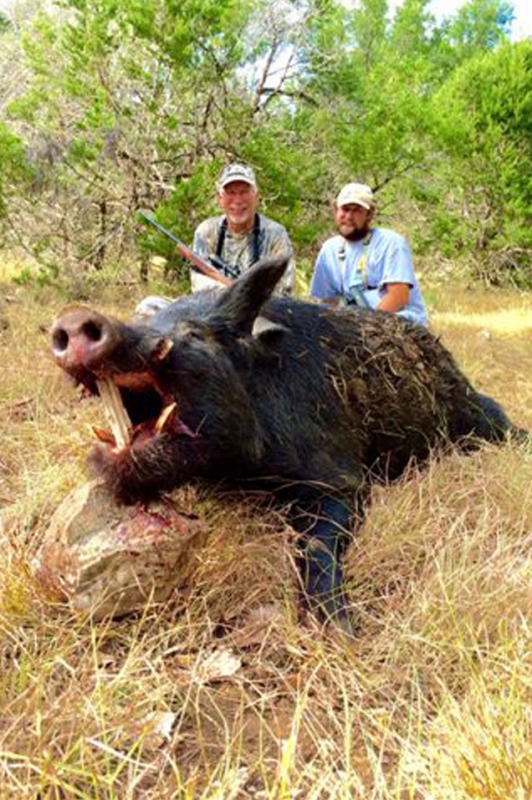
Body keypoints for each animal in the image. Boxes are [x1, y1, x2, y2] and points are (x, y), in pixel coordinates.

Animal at [50, 257, 526, 633]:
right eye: (146, 323)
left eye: (196, 335)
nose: (72, 319)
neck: (238, 470)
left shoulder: (342, 478)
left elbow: (316, 542)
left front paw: (341, 630)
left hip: (478, 414)